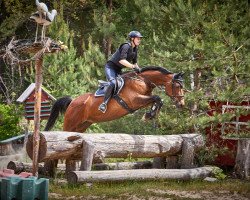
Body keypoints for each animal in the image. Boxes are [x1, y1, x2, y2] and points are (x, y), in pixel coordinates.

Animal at [44, 66, 184, 133]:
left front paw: (150, 114)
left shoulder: (142, 100)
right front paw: (149, 115)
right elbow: (157, 97)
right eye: (178, 86)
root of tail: (72, 102)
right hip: (70, 123)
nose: (181, 104)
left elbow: (158, 100)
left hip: (82, 125)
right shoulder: (135, 100)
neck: (142, 80)